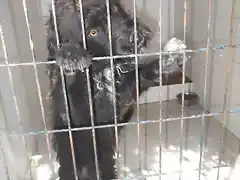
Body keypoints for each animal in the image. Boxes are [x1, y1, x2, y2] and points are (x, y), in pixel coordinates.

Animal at [45, 0, 181, 179]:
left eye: (114, 9)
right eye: (92, 32)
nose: (136, 36)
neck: (103, 69)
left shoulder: (125, 93)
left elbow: (143, 73)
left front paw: (168, 59)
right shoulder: (76, 116)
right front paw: (70, 56)